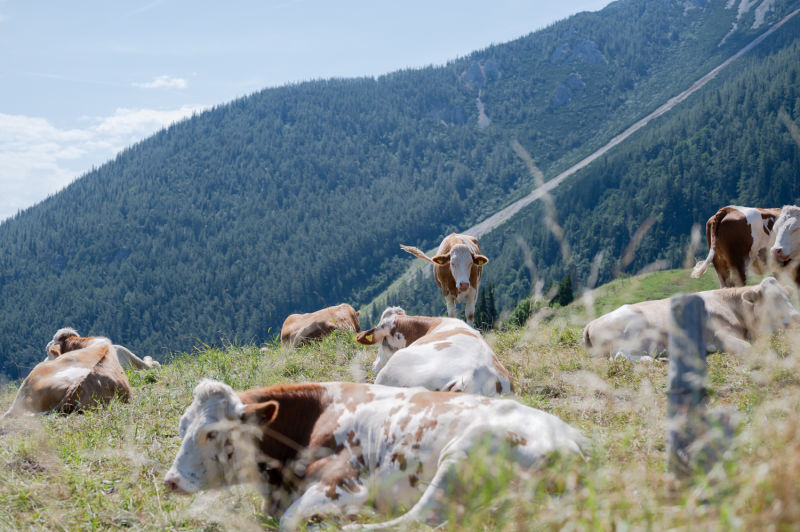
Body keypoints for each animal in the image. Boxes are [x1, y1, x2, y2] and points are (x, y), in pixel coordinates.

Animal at [163, 379, 585, 530]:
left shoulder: (344, 482)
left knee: (419, 519)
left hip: (463, 452)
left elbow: (288, 521)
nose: (171, 481)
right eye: (182, 427)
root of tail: (575, 444)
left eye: (211, 432)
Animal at [583, 277, 800, 360]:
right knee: (620, 356)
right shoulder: (721, 336)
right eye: (774, 299)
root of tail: (591, 323)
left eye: (787, 296)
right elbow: (750, 350)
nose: (796, 316)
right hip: (635, 333)